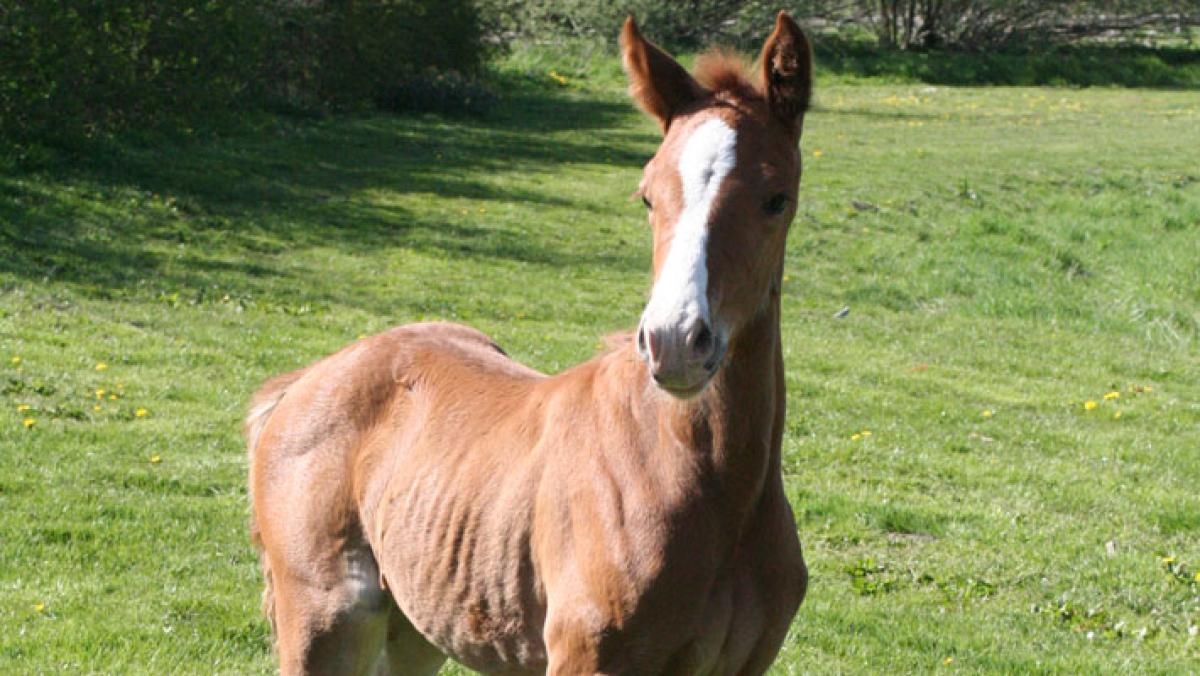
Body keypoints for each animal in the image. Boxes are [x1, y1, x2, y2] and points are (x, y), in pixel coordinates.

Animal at [250, 13, 816, 672]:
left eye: (776, 199)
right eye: (648, 195)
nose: (675, 341)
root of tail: (305, 381)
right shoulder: (584, 655)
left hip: (413, 630)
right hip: (324, 620)